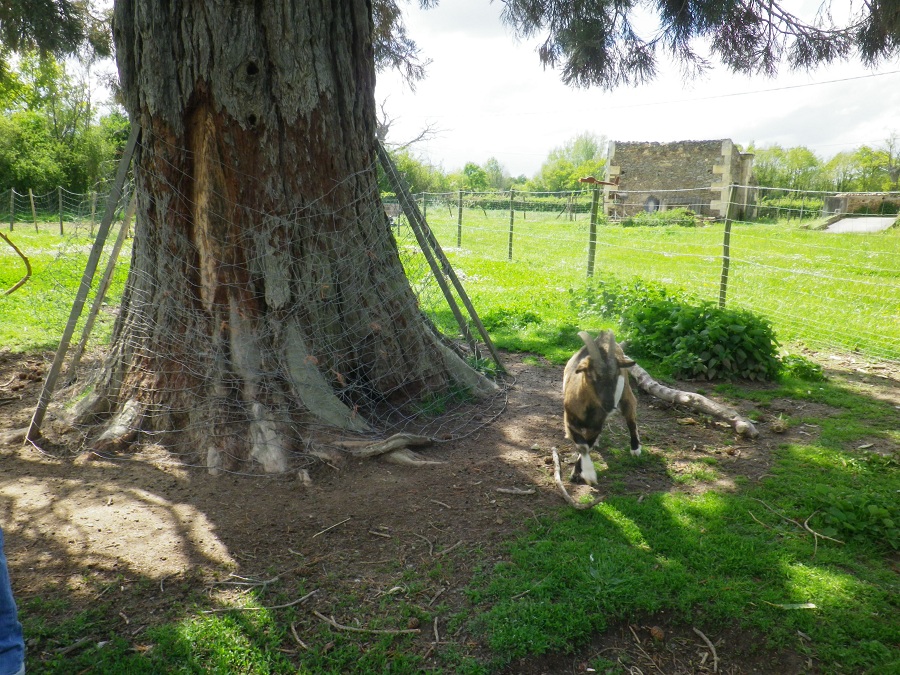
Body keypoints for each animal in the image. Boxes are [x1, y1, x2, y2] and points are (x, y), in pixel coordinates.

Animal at [564, 330, 640, 484]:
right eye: (592, 375)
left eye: (616, 375)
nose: (609, 405)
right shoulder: (569, 421)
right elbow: (582, 446)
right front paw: (581, 474)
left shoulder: (596, 426)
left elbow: (586, 446)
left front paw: (586, 474)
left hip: (626, 394)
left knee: (631, 418)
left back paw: (635, 448)